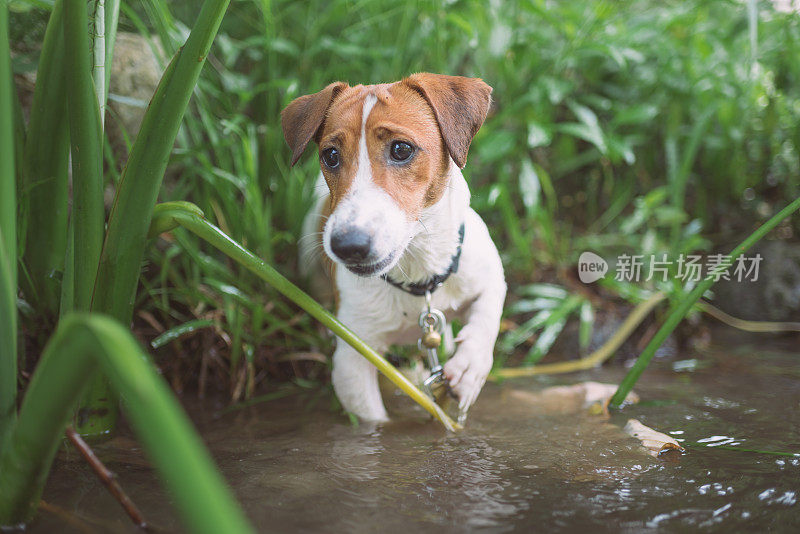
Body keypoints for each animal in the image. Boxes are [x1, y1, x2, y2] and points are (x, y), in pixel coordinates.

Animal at [282, 73, 506, 422]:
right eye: (330, 155)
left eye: (401, 149)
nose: (348, 245)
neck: (416, 274)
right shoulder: (353, 362)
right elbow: (374, 420)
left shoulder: (487, 273)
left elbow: (487, 314)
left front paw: (470, 367)